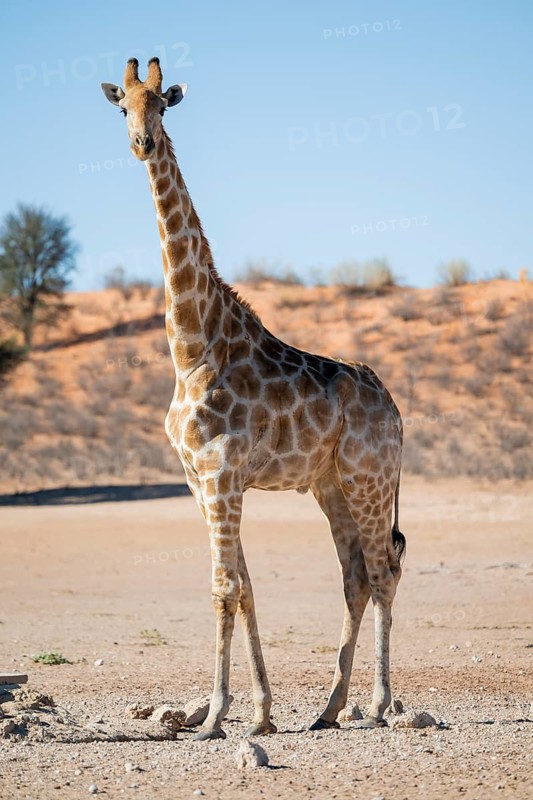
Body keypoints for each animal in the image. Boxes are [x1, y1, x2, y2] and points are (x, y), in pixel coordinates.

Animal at [101, 58, 406, 741]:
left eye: (162, 103)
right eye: (122, 106)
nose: (143, 143)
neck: (192, 348)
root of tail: (397, 411)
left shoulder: (221, 474)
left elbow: (222, 588)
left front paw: (216, 716)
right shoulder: (201, 479)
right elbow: (242, 586)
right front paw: (260, 713)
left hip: (370, 479)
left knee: (383, 570)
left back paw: (376, 704)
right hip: (329, 484)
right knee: (354, 575)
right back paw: (327, 708)